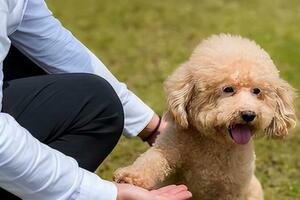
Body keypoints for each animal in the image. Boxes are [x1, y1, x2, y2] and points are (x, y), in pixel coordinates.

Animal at [113, 34, 296, 200]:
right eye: (228, 89)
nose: (249, 114)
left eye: (257, 91)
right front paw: (130, 177)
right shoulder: (169, 146)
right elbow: (152, 160)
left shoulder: (232, 189)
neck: (214, 142)